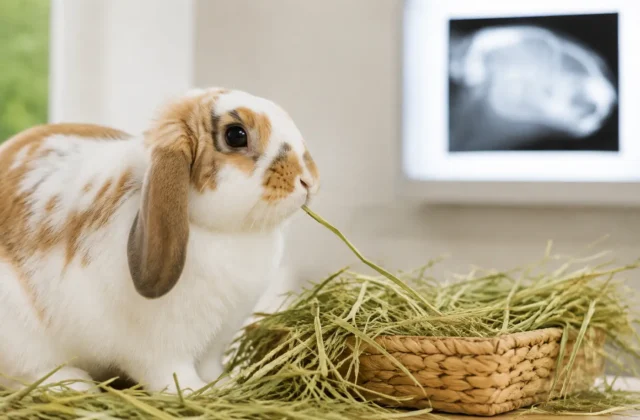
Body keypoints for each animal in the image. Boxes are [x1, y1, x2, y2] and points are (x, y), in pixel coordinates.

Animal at [0, 87, 319, 393]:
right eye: (236, 135)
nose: (309, 179)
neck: (229, 233)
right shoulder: (162, 350)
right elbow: (173, 376)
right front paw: (195, 392)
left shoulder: (218, 338)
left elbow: (211, 367)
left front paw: (226, 384)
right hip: (22, 339)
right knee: (25, 374)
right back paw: (74, 383)